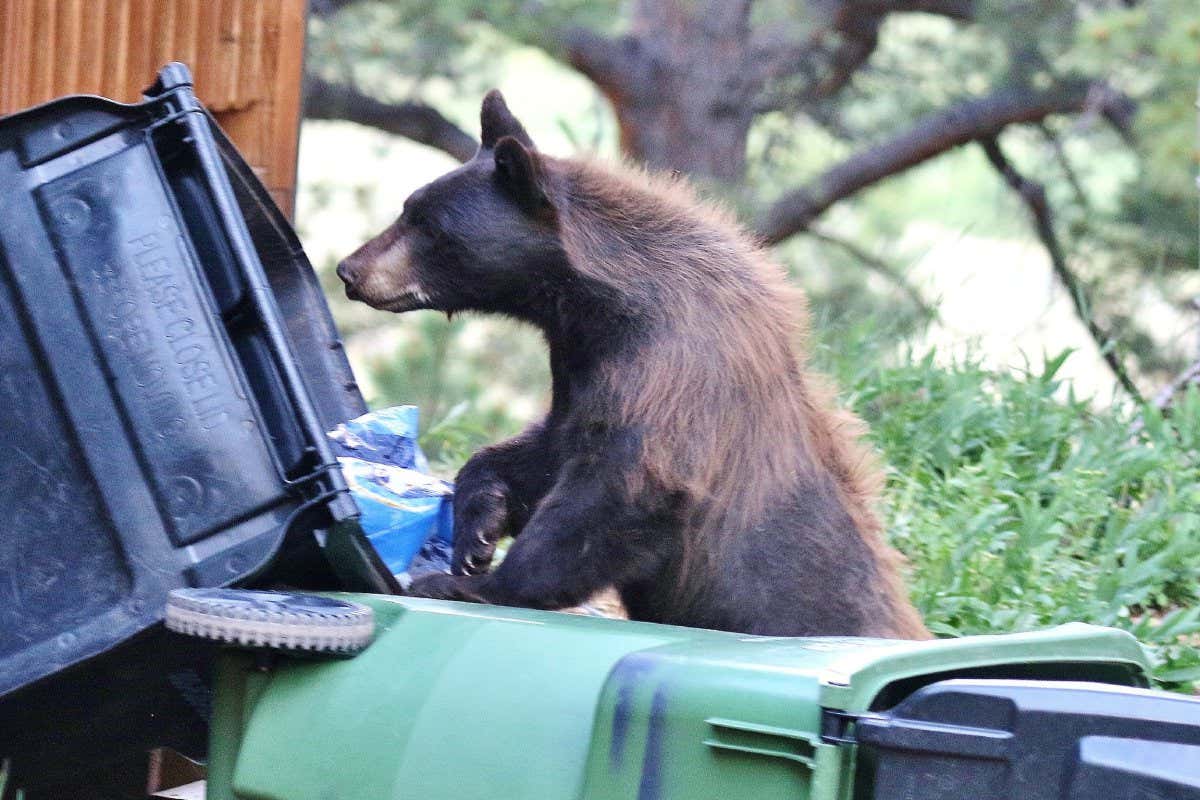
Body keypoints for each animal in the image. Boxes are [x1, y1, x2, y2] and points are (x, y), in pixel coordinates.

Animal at [336, 90, 929, 639]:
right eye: (409, 207)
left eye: (428, 225)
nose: (348, 269)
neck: (600, 304)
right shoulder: (580, 365)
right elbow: (549, 448)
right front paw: (477, 528)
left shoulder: (668, 367)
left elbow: (619, 489)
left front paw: (473, 583)